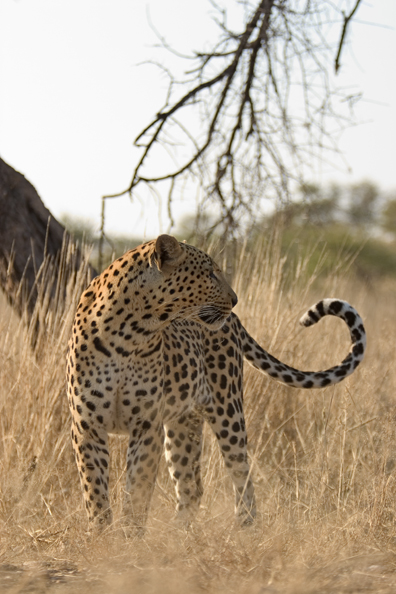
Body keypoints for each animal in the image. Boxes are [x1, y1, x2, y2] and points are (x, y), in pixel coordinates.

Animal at [66, 234, 366, 528]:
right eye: (210, 273)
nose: (235, 299)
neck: (128, 334)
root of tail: (235, 321)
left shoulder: (146, 424)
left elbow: (138, 490)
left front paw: (129, 534)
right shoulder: (86, 425)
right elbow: (95, 490)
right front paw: (102, 534)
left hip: (228, 409)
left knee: (241, 475)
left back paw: (243, 528)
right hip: (183, 423)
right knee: (191, 487)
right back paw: (178, 534)